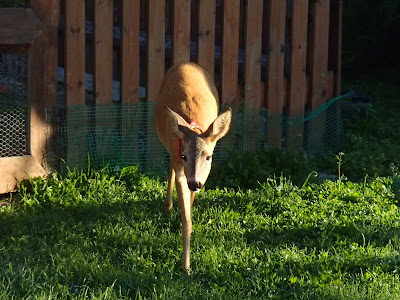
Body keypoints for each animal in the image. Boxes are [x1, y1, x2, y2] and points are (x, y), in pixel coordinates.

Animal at [155, 62, 233, 274]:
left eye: (208, 156)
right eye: (185, 156)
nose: (195, 183)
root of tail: (186, 63)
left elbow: (189, 206)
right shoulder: (180, 163)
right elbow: (187, 220)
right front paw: (186, 266)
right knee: (170, 166)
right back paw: (167, 205)